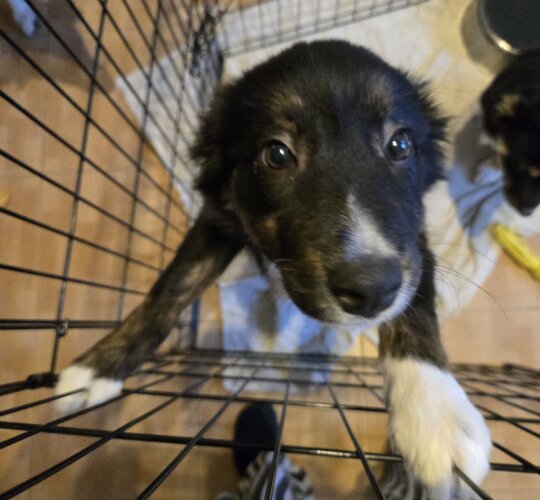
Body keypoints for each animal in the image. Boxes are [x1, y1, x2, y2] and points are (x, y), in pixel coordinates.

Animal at [57, 41, 492, 494]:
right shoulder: (219, 217)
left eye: (400, 145)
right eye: (277, 154)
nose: (373, 290)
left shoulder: (413, 241)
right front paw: (98, 367)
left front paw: (436, 411)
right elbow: (173, 286)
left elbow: (416, 305)